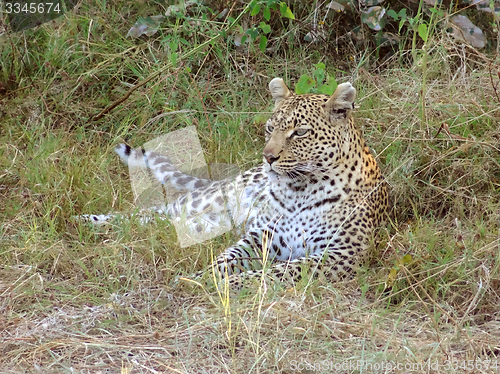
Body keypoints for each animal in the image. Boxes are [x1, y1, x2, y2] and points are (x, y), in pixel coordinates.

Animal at [80, 78, 388, 290]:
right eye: (270, 128)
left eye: (300, 132)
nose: (268, 157)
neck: (299, 192)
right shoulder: (261, 235)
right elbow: (226, 259)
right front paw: (204, 278)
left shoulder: (341, 255)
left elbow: (280, 272)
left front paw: (233, 284)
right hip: (212, 201)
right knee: (151, 213)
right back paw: (87, 221)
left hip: (206, 222)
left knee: (163, 223)